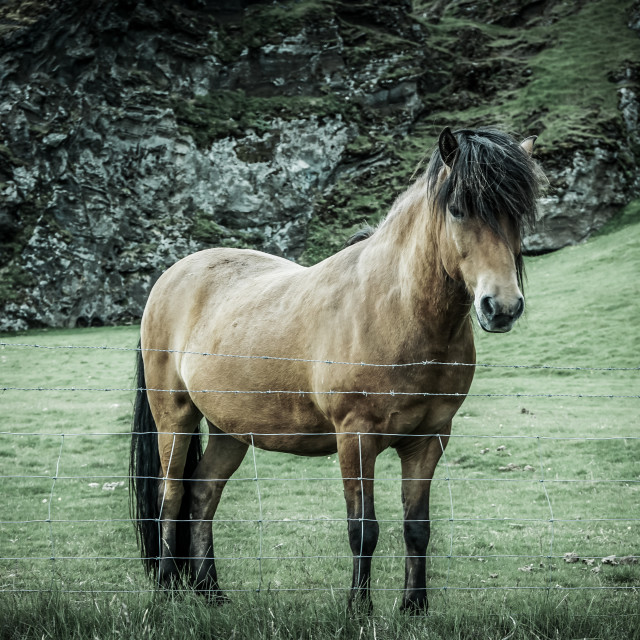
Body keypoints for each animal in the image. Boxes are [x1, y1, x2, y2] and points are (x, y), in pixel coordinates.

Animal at [130, 127, 544, 612]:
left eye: (518, 213)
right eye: (458, 208)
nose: (502, 307)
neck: (395, 310)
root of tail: (171, 276)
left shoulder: (428, 440)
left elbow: (416, 528)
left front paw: (414, 607)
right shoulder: (356, 437)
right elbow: (363, 529)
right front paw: (358, 608)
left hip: (229, 430)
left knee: (203, 492)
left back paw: (211, 592)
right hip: (174, 418)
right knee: (171, 494)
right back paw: (166, 587)